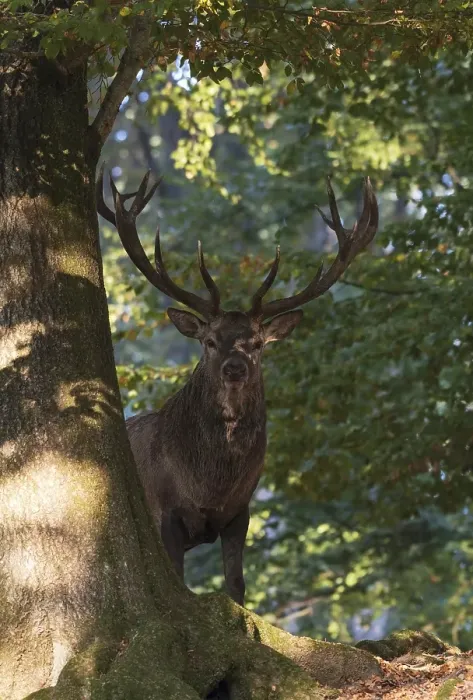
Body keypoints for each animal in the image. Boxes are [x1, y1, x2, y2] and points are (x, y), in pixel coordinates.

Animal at [96, 167, 378, 605]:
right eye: (210, 341)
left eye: (258, 343)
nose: (235, 368)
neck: (209, 484)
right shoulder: (165, 511)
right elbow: (180, 581)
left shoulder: (240, 512)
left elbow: (236, 584)